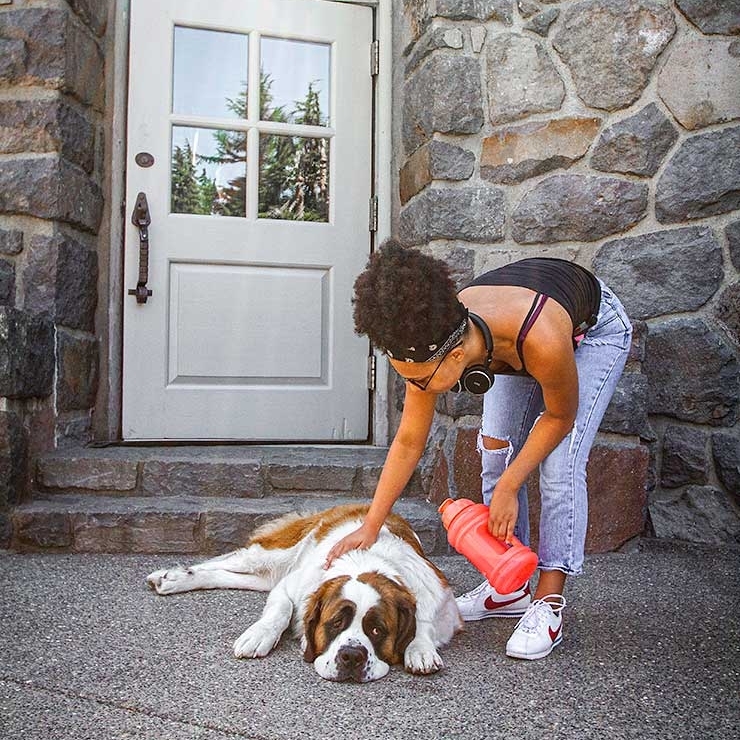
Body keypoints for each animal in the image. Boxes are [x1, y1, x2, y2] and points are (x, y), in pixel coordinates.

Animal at [146, 502, 462, 684]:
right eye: (336, 623)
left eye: (376, 630)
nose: (351, 656)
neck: (365, 561)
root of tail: (361, 503)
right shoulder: (291, 587)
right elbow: (281, 611)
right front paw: (258, 636)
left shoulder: (443, 601)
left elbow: (424, 620)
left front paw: (420, 650)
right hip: (273, 554)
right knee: (226, 560)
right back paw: (173, 577)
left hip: (266, 576)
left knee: (229, 575)